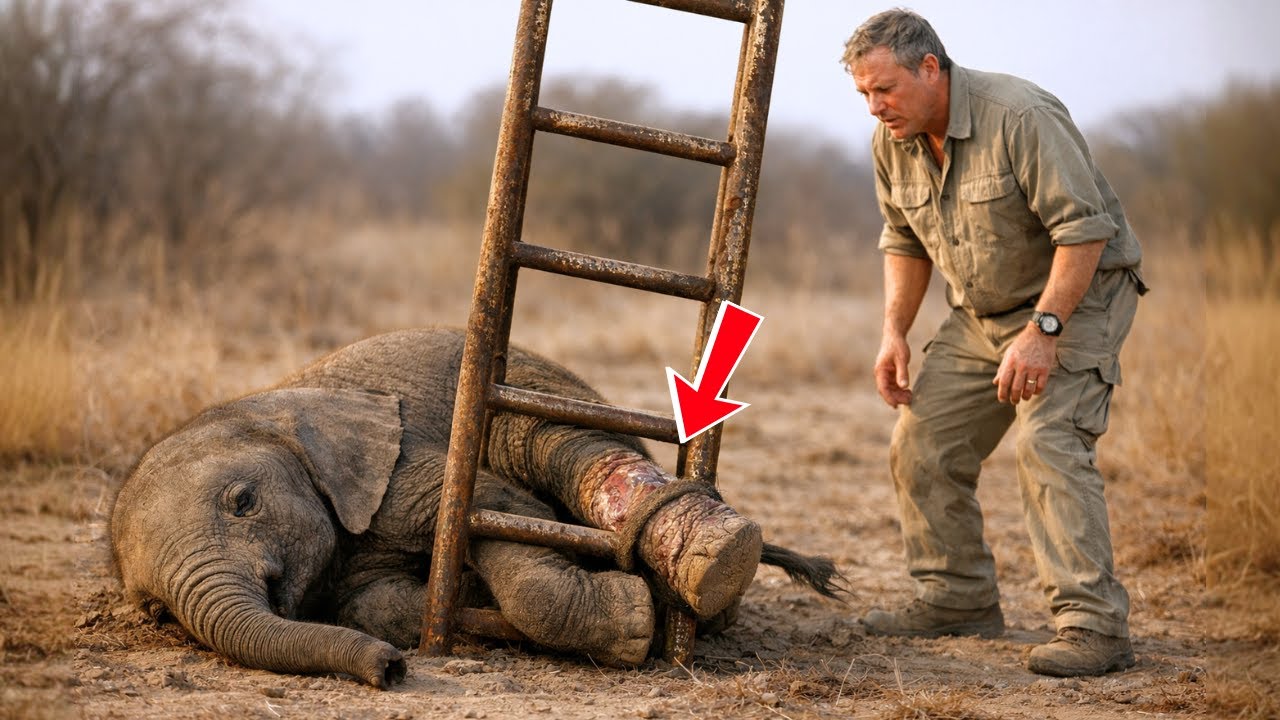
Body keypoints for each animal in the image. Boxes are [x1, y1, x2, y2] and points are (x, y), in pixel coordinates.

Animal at [110, 327, 841, 688]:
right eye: (154, 612)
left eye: (243, 501)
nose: (391, 670)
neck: (269, 406)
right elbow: (372, 604)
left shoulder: (401, 463)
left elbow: (491, 506)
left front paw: (637, 622)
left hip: (537, 391)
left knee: (548, 441)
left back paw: (711, 567)